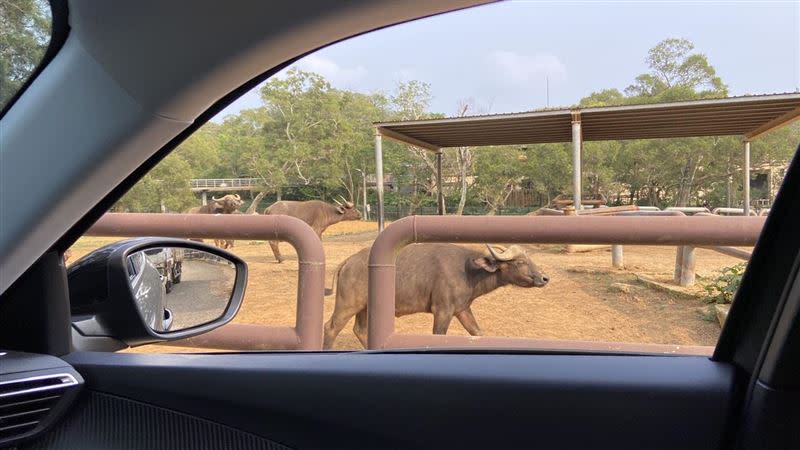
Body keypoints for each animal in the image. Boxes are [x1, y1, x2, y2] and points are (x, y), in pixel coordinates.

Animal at [322, 244, 548, 350]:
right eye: (519, 262)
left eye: (530, 258)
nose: (544, 278)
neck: (468, 271)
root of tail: (349, 261)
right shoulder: (443, 311)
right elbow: (439, 335)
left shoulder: (462, 309)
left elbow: (477, 332)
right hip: (348, 304)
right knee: (330, 327)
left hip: (364, 307)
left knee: (360, 330)